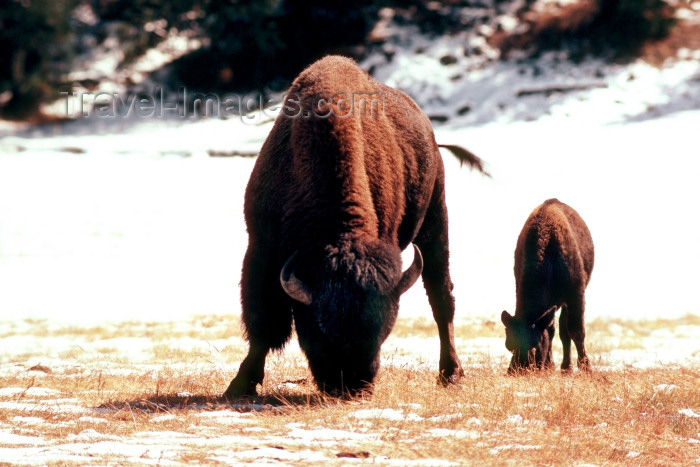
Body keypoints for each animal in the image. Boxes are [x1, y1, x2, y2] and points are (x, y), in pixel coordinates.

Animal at [224, 54, 486, 398]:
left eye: (382, 330)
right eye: (320, 330)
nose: (352, 386)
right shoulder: (260, 249)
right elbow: (263, 323)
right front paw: (239, 386)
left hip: (435, 220)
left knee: (442, 298)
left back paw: (451, 373)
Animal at [500, 199, 592, 374]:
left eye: (534, 346)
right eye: (509, 345)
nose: (515, 370)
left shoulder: (576, 295)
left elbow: (577, 331)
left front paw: (586, 368)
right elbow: (551, 331)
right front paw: (549, 365)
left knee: (565, 330)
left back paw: (567, 367)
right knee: (557, 329)